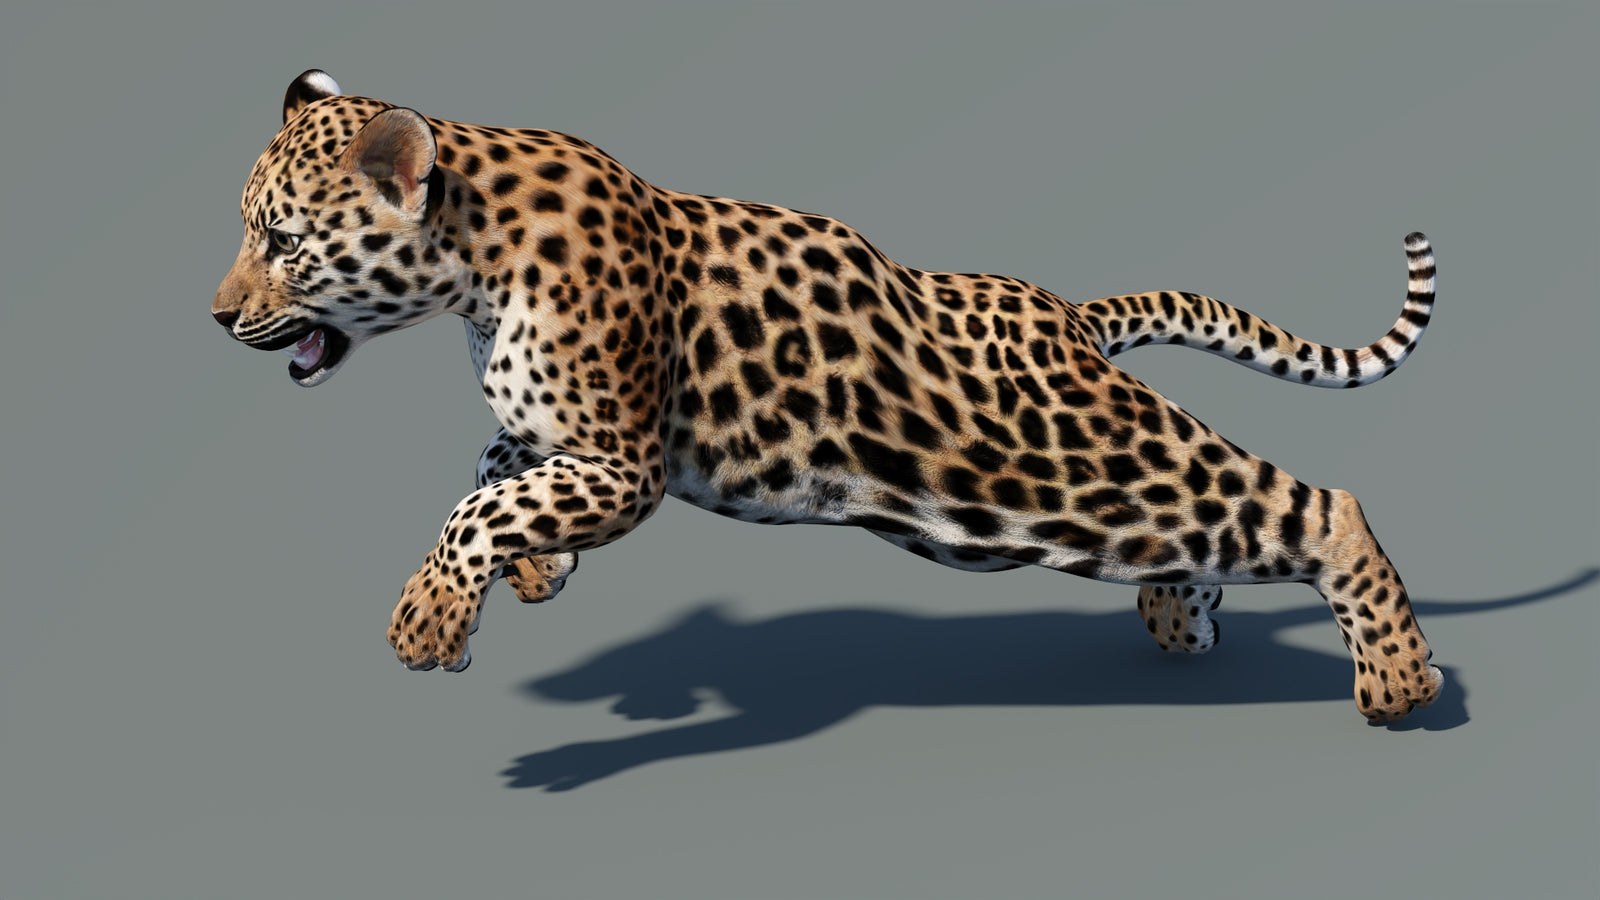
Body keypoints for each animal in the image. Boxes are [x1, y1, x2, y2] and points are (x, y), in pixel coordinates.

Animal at [213, 70, 1444, 722]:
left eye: (280, 242)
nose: (218, 316)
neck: (470, 267)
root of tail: (1065, 310)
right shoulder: (561, 434)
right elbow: (491, 473)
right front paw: (531, 573)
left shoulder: (624, 461)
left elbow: (481, 505)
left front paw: (428, 622)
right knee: (1198, 536)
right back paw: (1185, 620)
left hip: (1055, 462)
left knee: (1312, 506)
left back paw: (1397, 679)